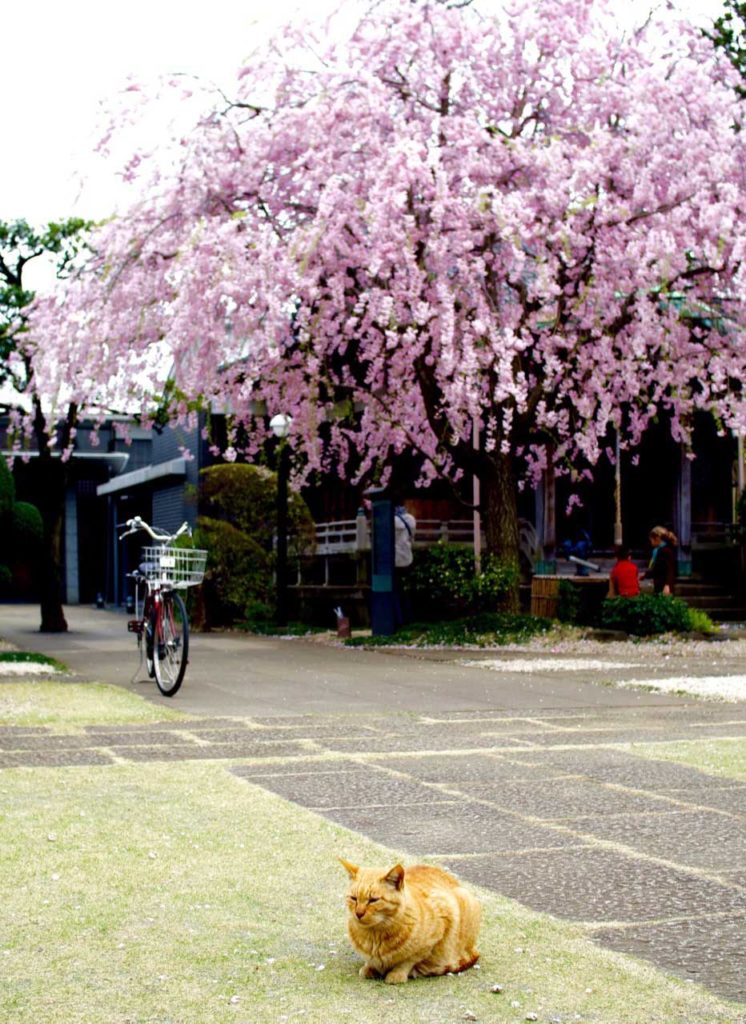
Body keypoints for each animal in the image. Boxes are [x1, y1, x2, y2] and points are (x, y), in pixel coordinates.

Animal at [339, 860, 480, 978]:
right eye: (353, 898)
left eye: (373, 900)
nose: (358, 913)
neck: (374, 937)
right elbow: (369, 962)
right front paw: (369, 967)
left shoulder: (439, 928)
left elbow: (408, 961)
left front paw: (397, 974)